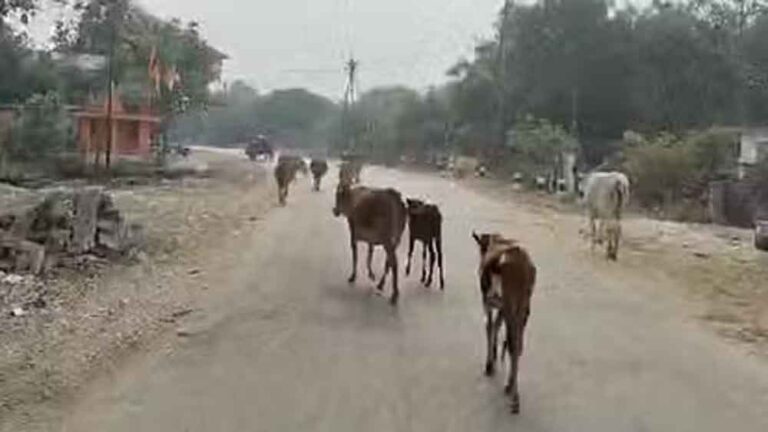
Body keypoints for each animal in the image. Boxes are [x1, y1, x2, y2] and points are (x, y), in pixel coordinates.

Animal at [472, 231, 536, 414]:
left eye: (481, 248)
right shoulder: (501, 308)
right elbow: (496, 326)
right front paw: (493, 356)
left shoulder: (488, 303)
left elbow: (489, 326)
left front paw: (489, 365)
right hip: (522, 307)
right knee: (517, 345)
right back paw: (510, 387)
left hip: (509, 304)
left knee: (513, 344)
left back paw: (514, 399)